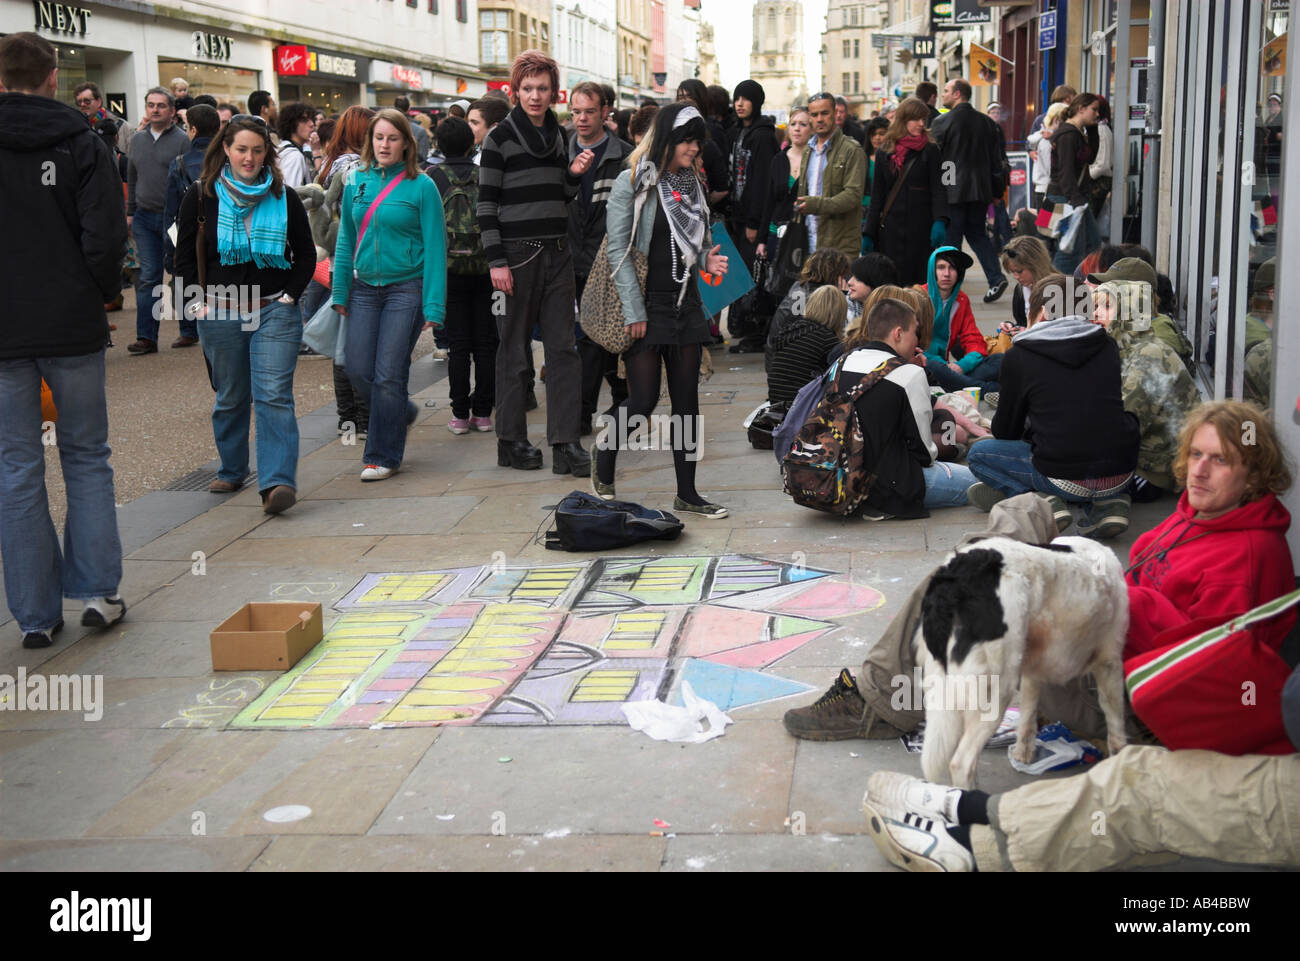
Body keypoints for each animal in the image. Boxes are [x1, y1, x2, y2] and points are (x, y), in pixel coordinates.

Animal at [915, 533, 1128, 790]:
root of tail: (953, 579)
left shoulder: (1031, 670)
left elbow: (1028, 711)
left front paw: (1023, 752)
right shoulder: (1110, 661)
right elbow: (1114, 712)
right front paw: (1121, 757)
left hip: (947, 685)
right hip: (996, 688)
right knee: (961, 763)